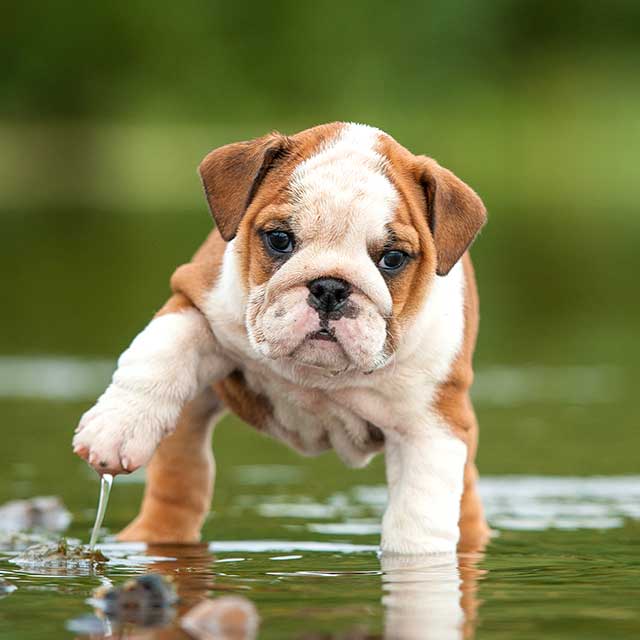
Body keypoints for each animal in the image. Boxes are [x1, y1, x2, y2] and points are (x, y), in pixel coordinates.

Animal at [71, 122, 490, 552]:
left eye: (392, 259)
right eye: (279, 239)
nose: (330, 287)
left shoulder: (431, 426)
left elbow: (418, 517)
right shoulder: (196, 300)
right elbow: (158, 355)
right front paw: (119, 427)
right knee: (181, 475)